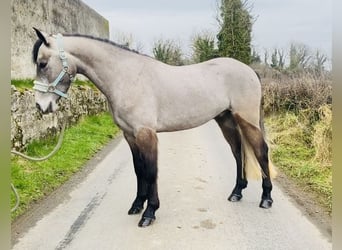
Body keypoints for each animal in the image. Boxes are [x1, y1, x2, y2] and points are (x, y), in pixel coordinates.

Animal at [32, 28, 276, 228]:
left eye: (42, 63)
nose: (41, 106)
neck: (126, 77)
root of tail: (250, 71)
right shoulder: (130, 136)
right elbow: (139, 169)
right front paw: (137, 205)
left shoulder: (146, 134)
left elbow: (151, 171)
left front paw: (149, 213)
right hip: (226, 120)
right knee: (238, 152)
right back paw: (237, 192)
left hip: (247, 119)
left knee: (261, 151)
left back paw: (266, 198)